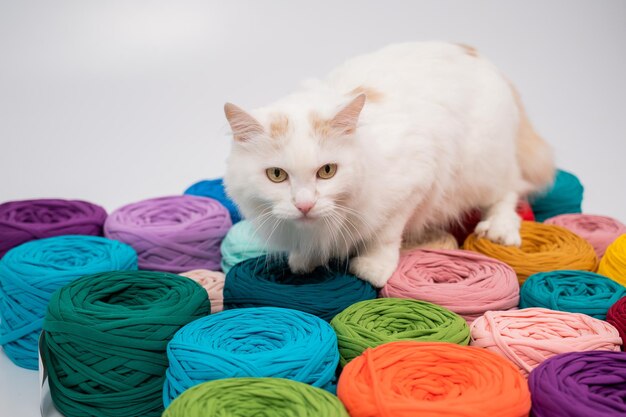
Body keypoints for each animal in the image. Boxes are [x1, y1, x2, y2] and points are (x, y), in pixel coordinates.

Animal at [223, 42, 552, 286]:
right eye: (277, 175)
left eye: (327, 171)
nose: (305, 205)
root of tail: (478, 55)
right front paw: (305, 260)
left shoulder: (414, 182)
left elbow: (385, 234)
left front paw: (373, 268)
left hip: (481, 166)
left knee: (509, 190)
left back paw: (499, 228)